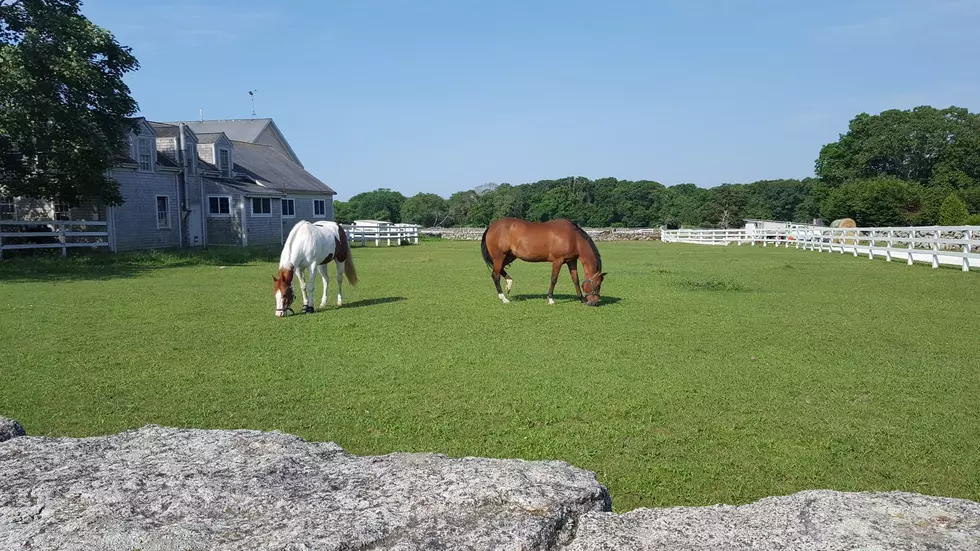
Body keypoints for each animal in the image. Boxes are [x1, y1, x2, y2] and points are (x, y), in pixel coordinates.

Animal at [480, 219, 608, 306]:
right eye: (598, 285)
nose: (595, 303)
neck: (573, 237)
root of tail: (492, 226)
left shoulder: (571, 261)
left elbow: (575, 280)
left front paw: (581, 299)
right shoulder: (558, 261)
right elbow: (554, 279)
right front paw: (551, 299)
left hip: (510, 256)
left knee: (498, 270)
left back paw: (509, 283)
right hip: (499, 257)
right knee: (495, 275)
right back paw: (504, 298)